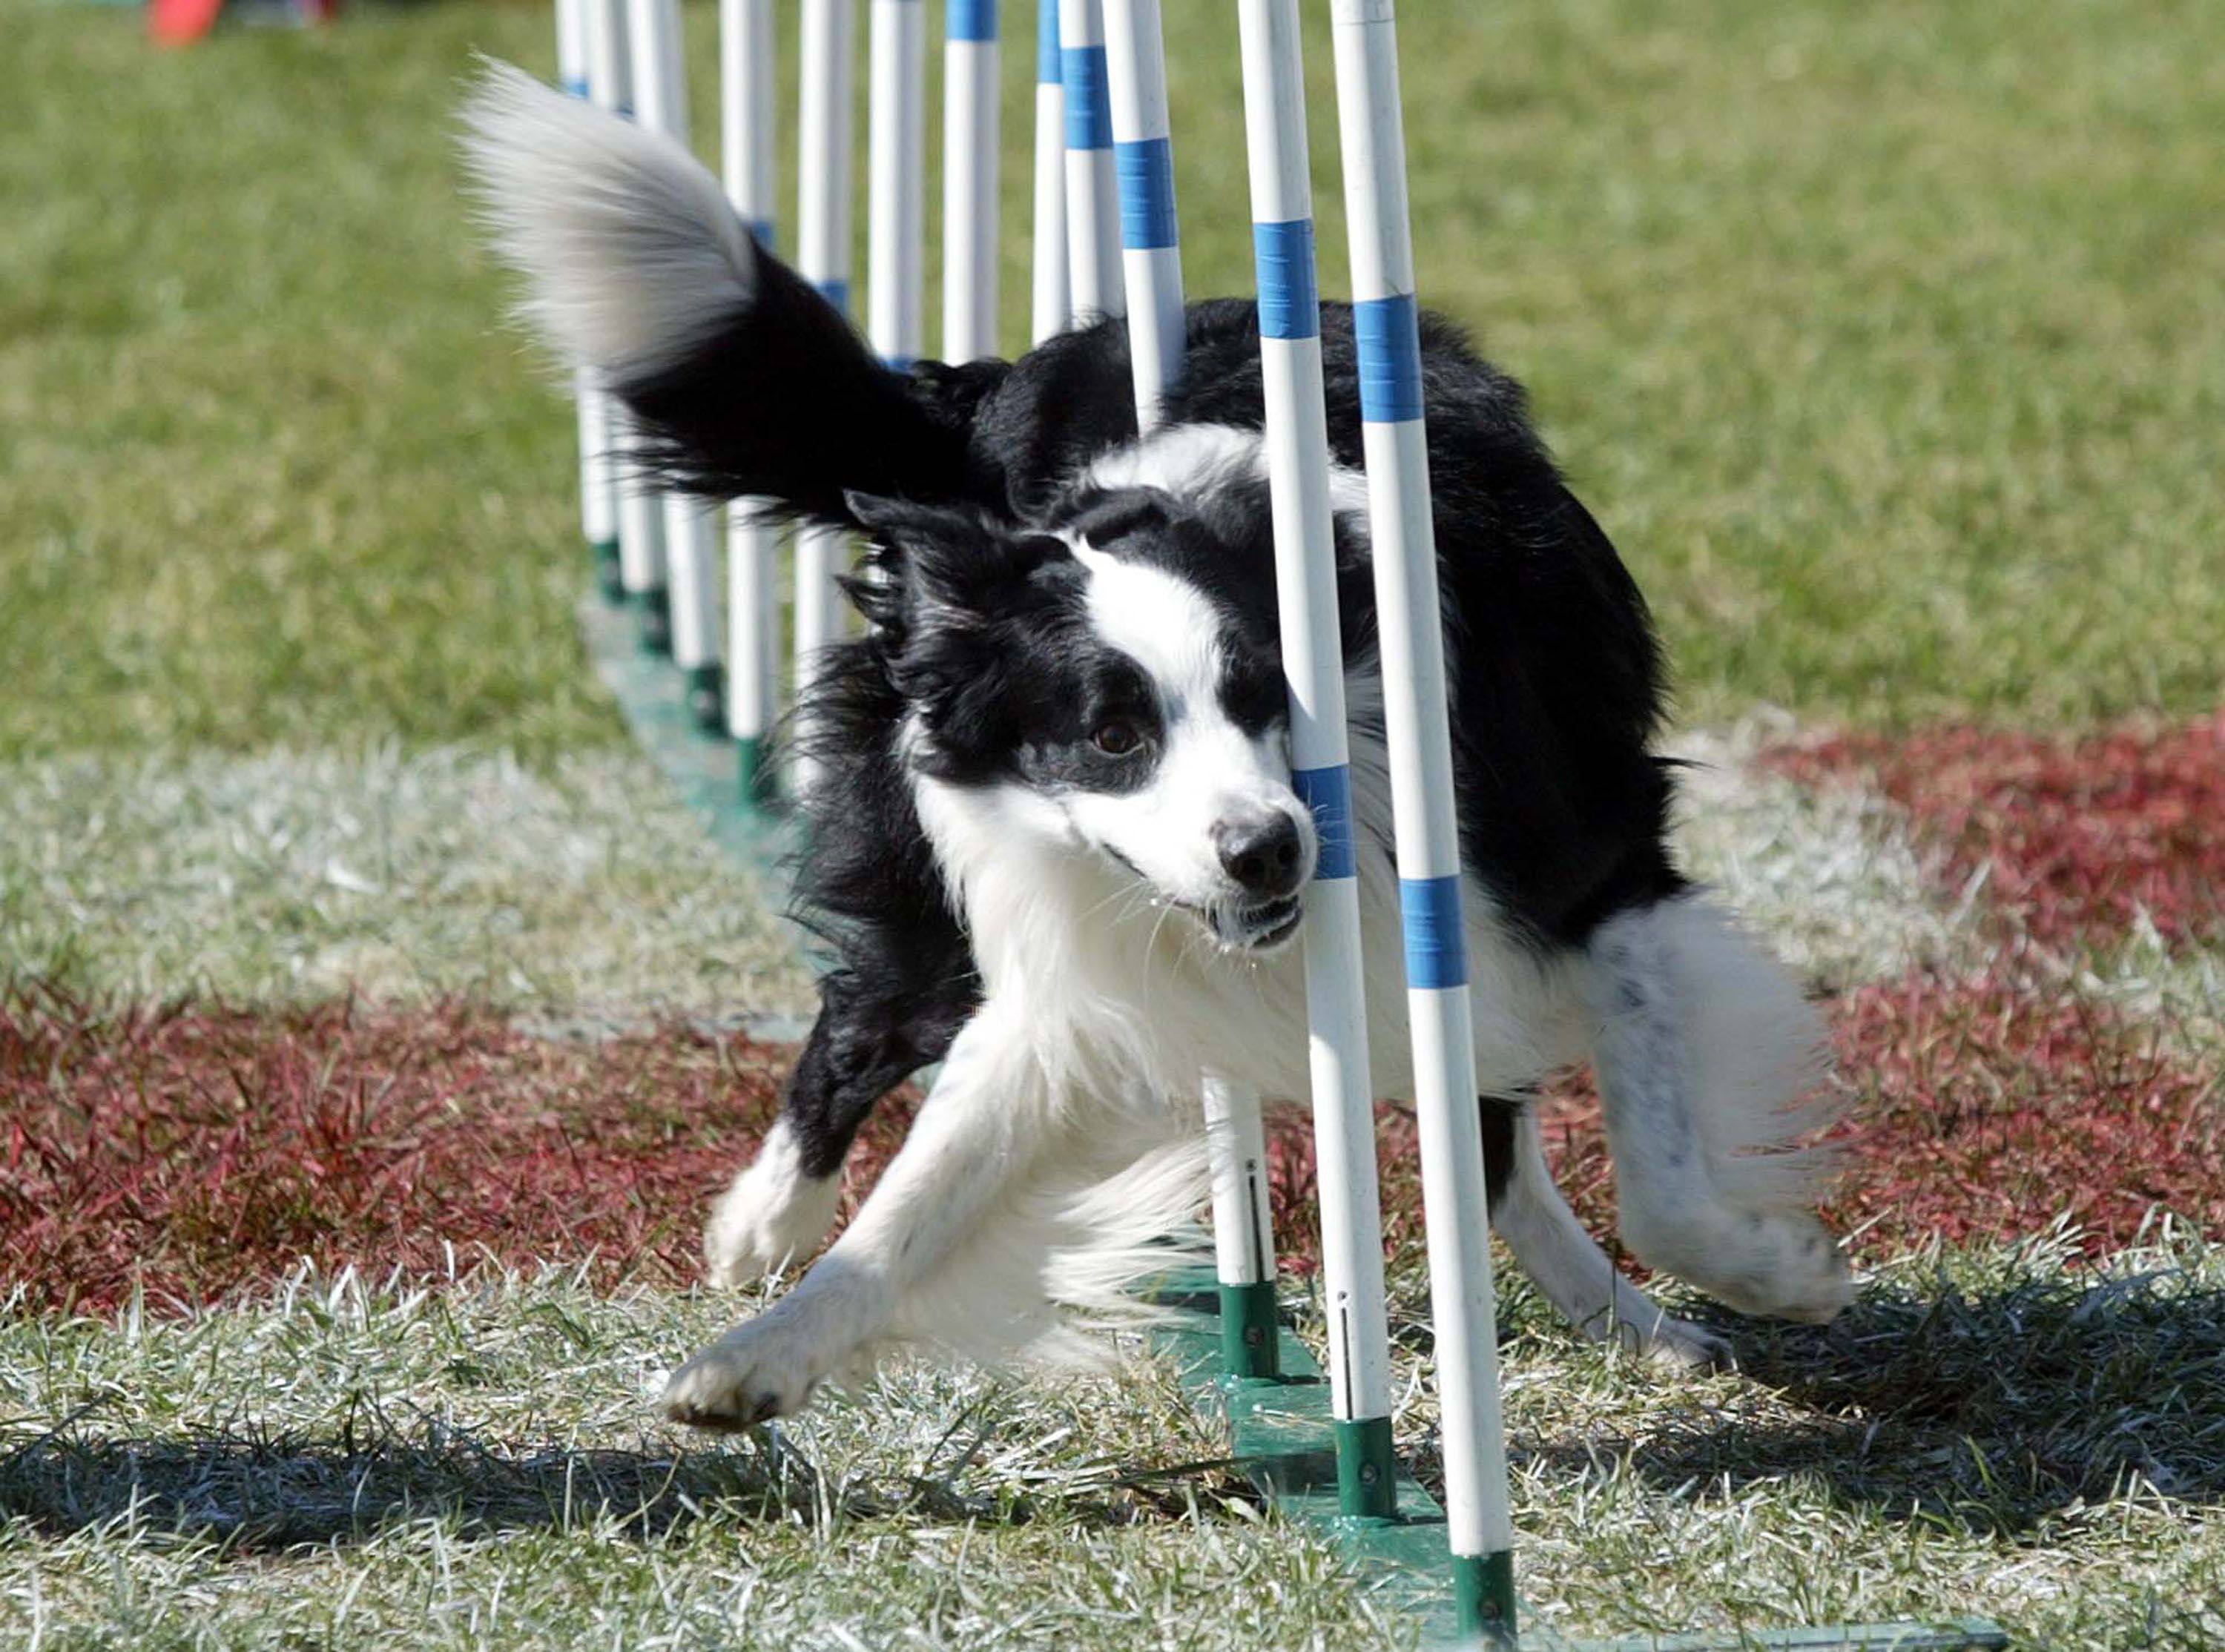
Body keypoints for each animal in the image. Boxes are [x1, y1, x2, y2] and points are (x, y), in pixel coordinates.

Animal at [461, 70, 1851, 1432]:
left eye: (1259, 693)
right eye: (1112, 735)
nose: (1266, 850)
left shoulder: (1582, 864)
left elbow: (1655, 1167)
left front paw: (1779, 1272)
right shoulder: (1076, 977)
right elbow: (923, 1199)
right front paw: (751, 1362)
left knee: (1494, 1137)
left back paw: (1637, 1325)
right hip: (922, 846)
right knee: (867, 1008)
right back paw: (765, 1220)